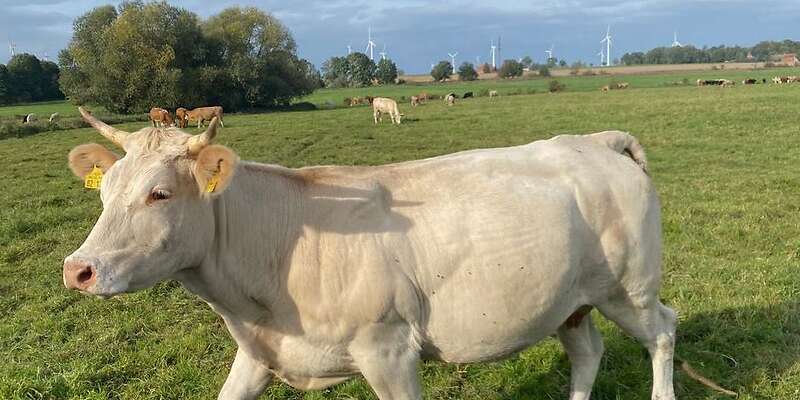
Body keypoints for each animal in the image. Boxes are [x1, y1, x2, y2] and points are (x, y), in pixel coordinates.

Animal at [64, 107, 705, 400]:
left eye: (160, 193)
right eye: (107, 188)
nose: (78, 269)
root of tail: (598, 141)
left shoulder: (389, 349)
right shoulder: (258, 351)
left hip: (629, 287)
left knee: (663, 331)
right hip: (569, 300)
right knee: (587, 349)